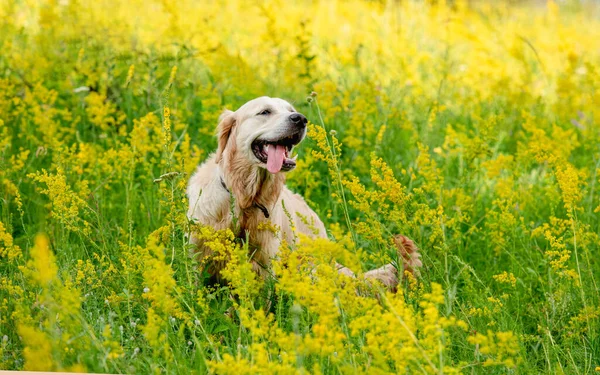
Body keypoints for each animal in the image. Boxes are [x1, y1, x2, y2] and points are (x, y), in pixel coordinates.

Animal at [188, 96, 422, 288]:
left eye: (291, 110)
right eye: (265, 112)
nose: (300, 119)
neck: (246, 200)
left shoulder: (266, 264)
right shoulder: (197, 254)